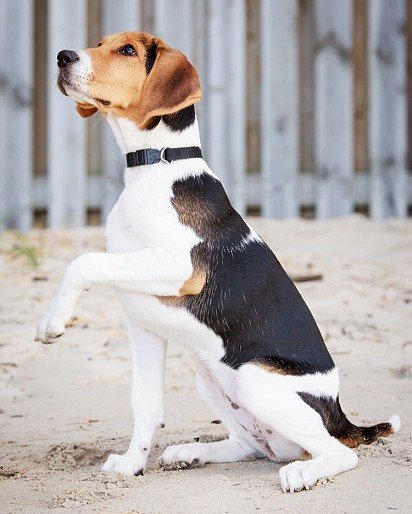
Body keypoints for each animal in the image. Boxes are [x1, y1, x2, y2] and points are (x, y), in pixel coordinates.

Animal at [36, 33, 400, 492]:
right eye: (99, 43)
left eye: (127, 51)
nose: (63, 57)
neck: (157, 165)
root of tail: (339, 415)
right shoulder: (142, 324)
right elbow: (144, 402)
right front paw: (132, 464)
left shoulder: (178, 267)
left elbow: (83, 262)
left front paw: (52, 321)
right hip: (208, 377)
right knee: (251, 445)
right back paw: (189, 453)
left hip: (253, 378)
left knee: (338, 453)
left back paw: (301, 472)